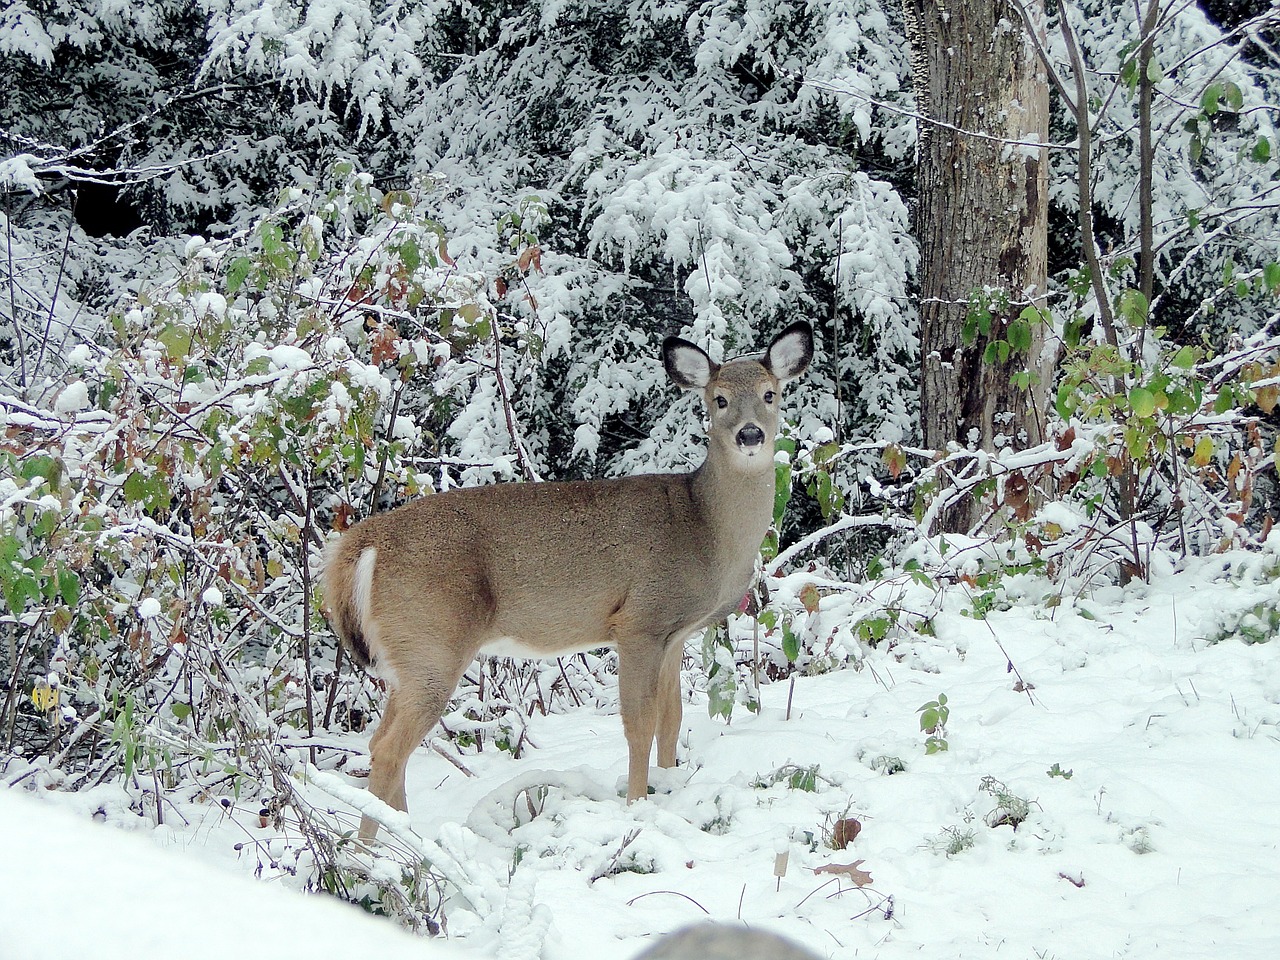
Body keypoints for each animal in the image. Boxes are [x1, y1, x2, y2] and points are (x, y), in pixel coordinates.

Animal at [325, 320, 814, 839]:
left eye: (770, 394)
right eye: (719, 399)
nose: (750, 434)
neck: (705, 528)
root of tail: (363, 543)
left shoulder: (674, 634)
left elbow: (671, 719)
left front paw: (667, 788)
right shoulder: (639, 620)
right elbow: (639, 724)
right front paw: (637, 805)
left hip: (407, 655)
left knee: (382, 743)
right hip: (431, 638)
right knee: (388, 749)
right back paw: (378, 849)